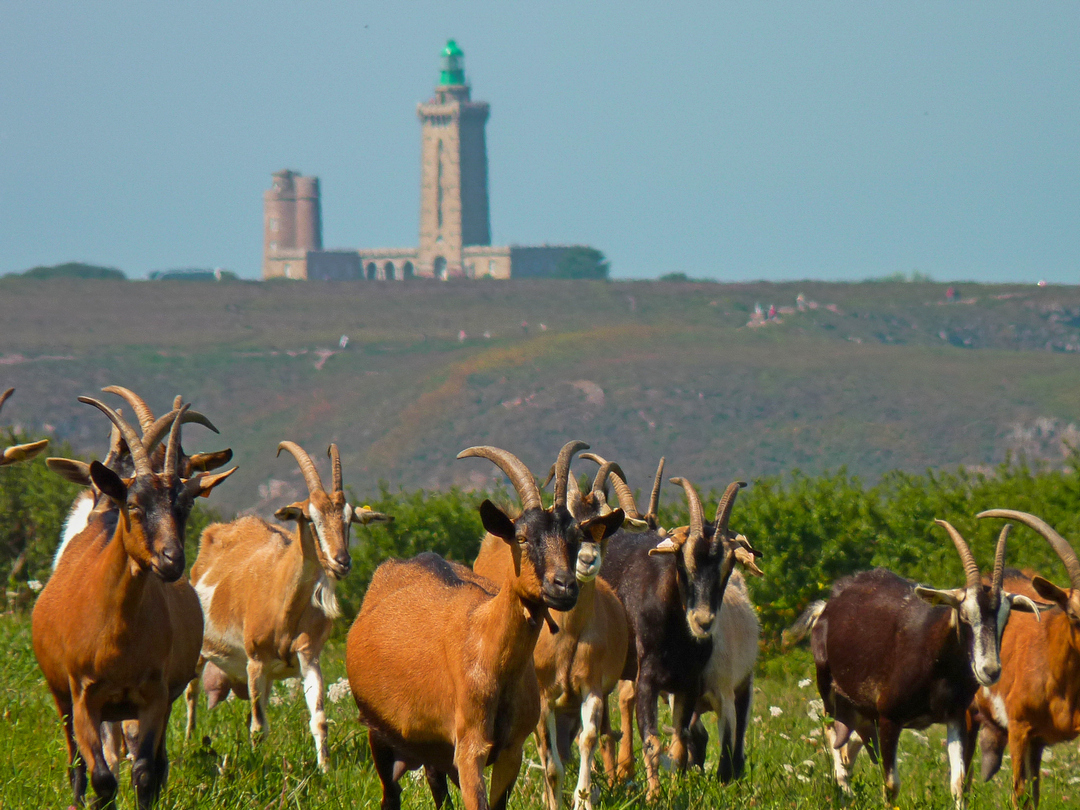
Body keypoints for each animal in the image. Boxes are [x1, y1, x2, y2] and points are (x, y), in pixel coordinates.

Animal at [32, 399, 235, 810]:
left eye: (185, 504)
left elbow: (144, 771)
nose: (171, 559)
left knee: (153, 762)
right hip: (61, 695)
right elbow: (101, 776)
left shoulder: (155, 697)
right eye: (135, 504)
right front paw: (97, 799)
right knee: (76, 763)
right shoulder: (84, 698)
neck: (117, 638)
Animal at [185, 440, 393, 768]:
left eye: (349, 520)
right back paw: (188, 740)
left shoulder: (309, 657)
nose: (342, 562)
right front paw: (258, 765)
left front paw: (325, 768)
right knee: (191, 692)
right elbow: (258, 727)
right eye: (310, 517)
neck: (283, 605)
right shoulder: (255, 661)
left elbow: (318, 718)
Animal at [345, 444, 626, 810]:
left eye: (576, 537)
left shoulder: (511, 752)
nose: (564, 585)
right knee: (391, 795)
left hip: (431, 749)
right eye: (521, 537)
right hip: (379, 734)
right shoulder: (469, 750)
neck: (488, 650)